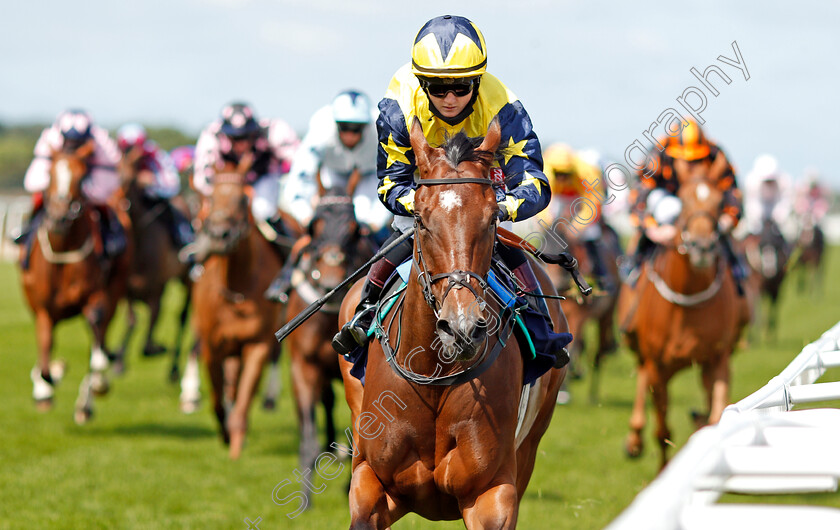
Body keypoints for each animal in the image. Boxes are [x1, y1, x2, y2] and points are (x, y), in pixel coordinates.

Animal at [18, 143, 130, 420]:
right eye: (50, 174)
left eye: (81, 178)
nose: (59, 217)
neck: (63, 251)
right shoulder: (43, 310)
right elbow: (45, 358)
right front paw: (47, 383)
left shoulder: (96, 297)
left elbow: (97, 346)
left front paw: (94, 383)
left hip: (115, 289)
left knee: (99, 339)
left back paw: (87, 400)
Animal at [193, 165, 290, 458]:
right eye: (211, 198)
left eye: (242, 199)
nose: (219, 235)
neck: (237, 287)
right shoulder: (212, 346)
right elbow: (217, 399)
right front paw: (225, 434)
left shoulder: (257, 345)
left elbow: (243, 401)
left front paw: (235, 445)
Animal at [282, 186, 374, 504]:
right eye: (314, 227)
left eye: (355, 229)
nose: (329, 283)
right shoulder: (304, 367)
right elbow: (309, 432)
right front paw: (305, 500)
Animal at [338, 119, 568, 528]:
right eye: (420, 220)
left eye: (492, 218)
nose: (461, 327)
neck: (433, 378)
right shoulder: (371, 480)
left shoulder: (492, 492)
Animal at [616, 157, 748, 466]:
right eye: (684, 200)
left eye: (718, 202)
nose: (702, 246)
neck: (687, 300)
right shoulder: (658, 366)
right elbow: (662, 430)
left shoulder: (717, 359)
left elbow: (715, 415)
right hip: (640, 348)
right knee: (642, 377)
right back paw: (634, 438)